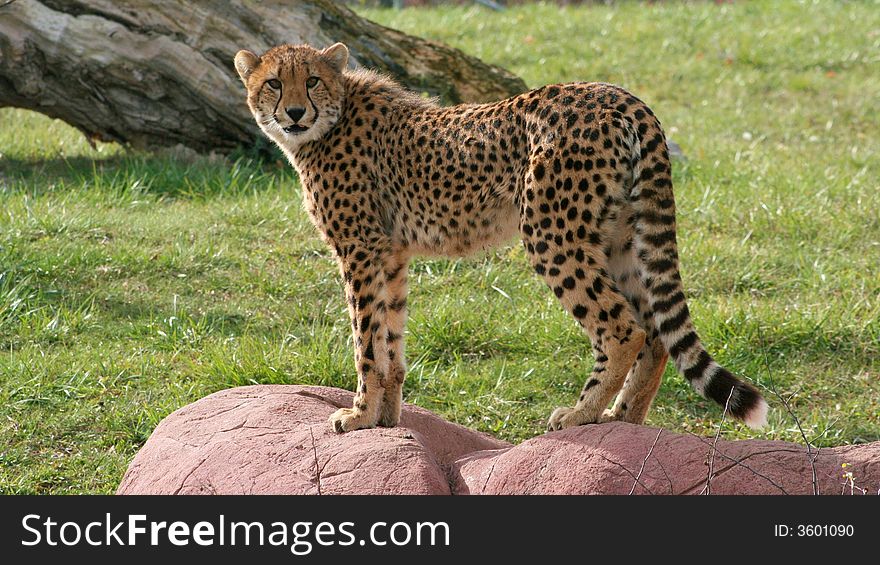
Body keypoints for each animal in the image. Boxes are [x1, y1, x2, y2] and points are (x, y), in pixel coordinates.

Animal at [235, 44, 768, 432]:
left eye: (313, 80)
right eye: (274, 83)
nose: (295, 112)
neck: (332, 119)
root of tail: (621, 96)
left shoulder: (360, 251)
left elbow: (366, 341)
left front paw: (359, 415)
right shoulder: (391, 255)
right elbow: (391, 340)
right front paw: (386, 418)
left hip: (552, 234)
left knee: (624, 327)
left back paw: (581, 414)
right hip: (618, 236)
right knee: (655, 331)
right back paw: (623, 418)